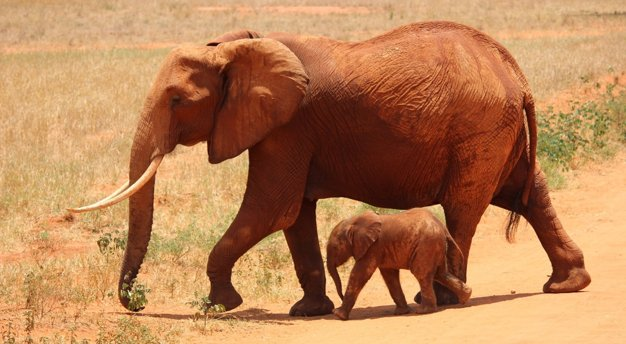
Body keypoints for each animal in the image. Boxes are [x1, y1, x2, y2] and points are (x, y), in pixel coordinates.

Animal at [326, 207, 468, 320]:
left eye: (335, 248)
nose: (340, 297)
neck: (354, 222)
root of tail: (442, 227)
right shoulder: (381, 250)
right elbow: (390, 277)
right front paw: (401, 312)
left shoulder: (373, 247)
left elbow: (360, 274)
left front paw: (338, 315)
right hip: (435, 246)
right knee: (441, 274)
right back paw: (466, 297)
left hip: (427, 245)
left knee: (422, 274)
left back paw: (424, 311)